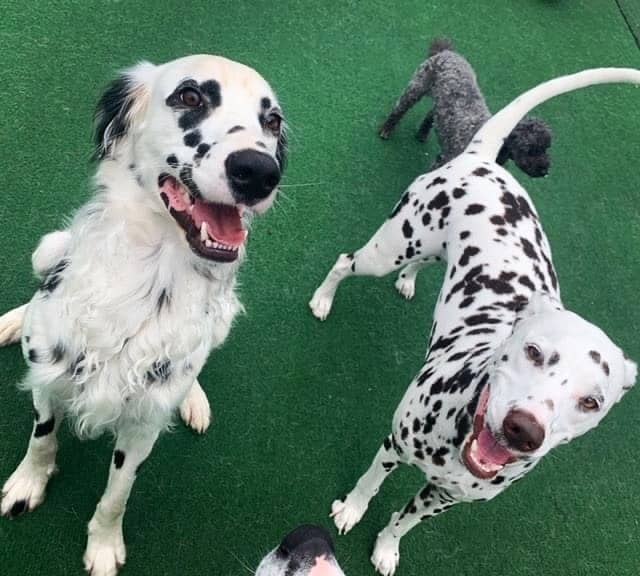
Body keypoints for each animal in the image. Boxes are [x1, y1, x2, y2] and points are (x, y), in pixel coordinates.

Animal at [0, 55, 286, 576]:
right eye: (190, 96)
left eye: (272, 122)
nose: (259, 172)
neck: (150, 284)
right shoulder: (48, 378)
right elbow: (42, 438)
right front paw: (29, 482)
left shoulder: (141, 428)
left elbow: (118, 492)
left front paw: (104, 544)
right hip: (46, 248)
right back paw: (12, 319)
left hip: (222, 321)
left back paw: (193, 399)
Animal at [308, 68, 636, 576]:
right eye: (534, 351)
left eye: (591, 401)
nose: (525, 429)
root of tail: (485, 160)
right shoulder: (394, 444)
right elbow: (369, 484)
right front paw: (351, 510)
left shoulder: (443, 498)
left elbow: (404, 520)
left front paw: (387, 547)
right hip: (389, 247)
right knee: (345, 262)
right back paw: (323, 299)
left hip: (428, 250)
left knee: (417, 265)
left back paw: (408, 281)